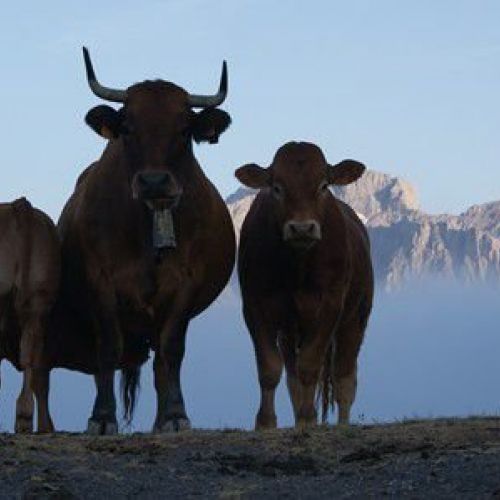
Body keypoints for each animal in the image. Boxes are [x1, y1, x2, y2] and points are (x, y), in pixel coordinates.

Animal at [51, 48, 235, 436]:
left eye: (184, 129)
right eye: (127, 128)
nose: (154, 182)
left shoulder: (185, 285)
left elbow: (172, 350)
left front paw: (176, 416)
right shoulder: (100, 283)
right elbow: (108, 349)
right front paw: (102, 418)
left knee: (160, 364)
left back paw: (160, 419)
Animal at [234, 142, 372, 430]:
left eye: (323, 185)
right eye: (277, 187)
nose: (301, 228)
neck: (296, 268)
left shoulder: (330, 306)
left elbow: (310, 365)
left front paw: (309, 418)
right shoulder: (254, 306)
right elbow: (269, 368)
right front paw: (266, 422)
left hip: (356, 319)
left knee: (344, 378)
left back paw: (341, 425)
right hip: (290, 331)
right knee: (293, 377)